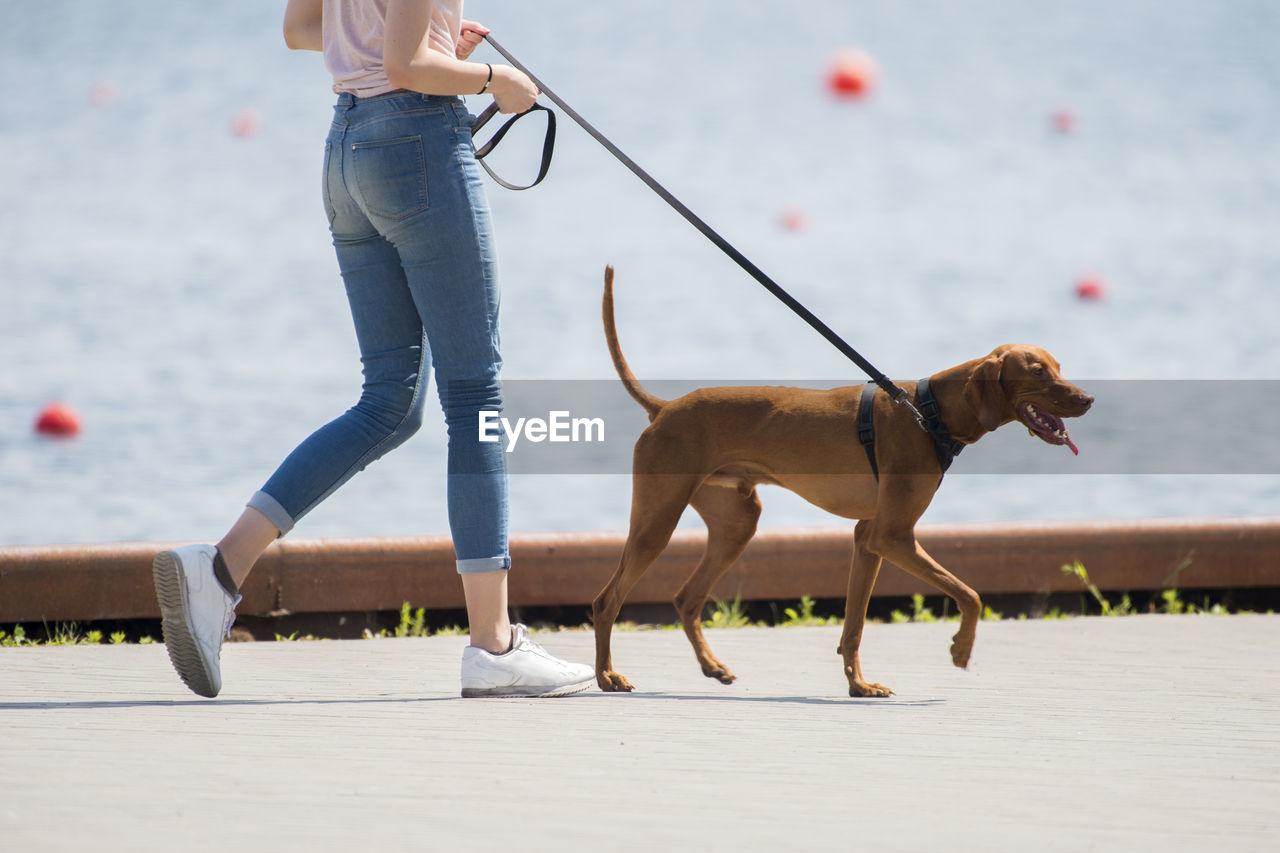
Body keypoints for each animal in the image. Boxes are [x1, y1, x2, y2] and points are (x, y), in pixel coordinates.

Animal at [593, 263, 1095, 691]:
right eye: (1037, 372)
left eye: (1058, 368)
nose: (1089, 399)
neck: (928, 412)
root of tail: (664, 408)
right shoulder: (893, 536)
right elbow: (970, 594)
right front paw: (960, 649)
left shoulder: (867, 537)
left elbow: (854, 625)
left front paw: (859, 685)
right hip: (657, 523)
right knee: (606, 600)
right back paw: (607, 676)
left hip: (737, 523)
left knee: (686, 598)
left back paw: (711, 667)